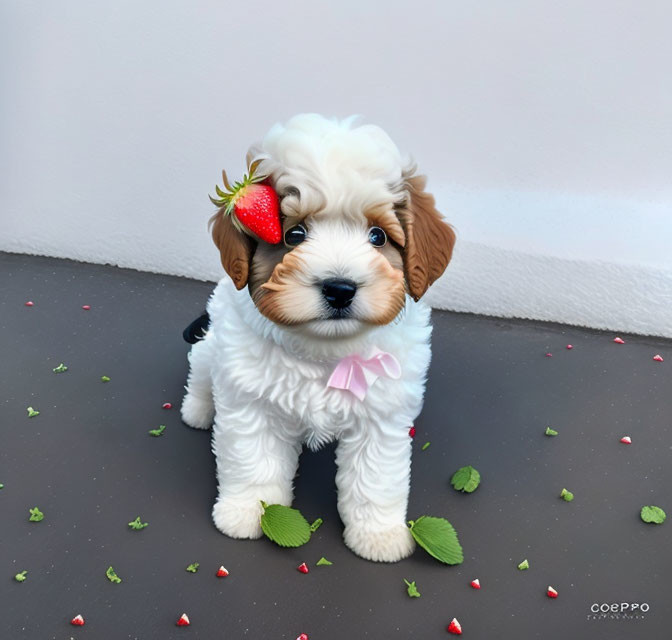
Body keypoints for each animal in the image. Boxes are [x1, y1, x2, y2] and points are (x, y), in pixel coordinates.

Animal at [182, 114, 456, 560]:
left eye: (378, 237)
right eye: (294, 235)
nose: (340, 288)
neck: (324, 350)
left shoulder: (382, 416)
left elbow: (375, 478)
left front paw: (378, 534)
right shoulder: (251, 402)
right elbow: (254, 461)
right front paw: (247, 512)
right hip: (214, 348)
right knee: (202, 370)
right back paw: (200, 409)